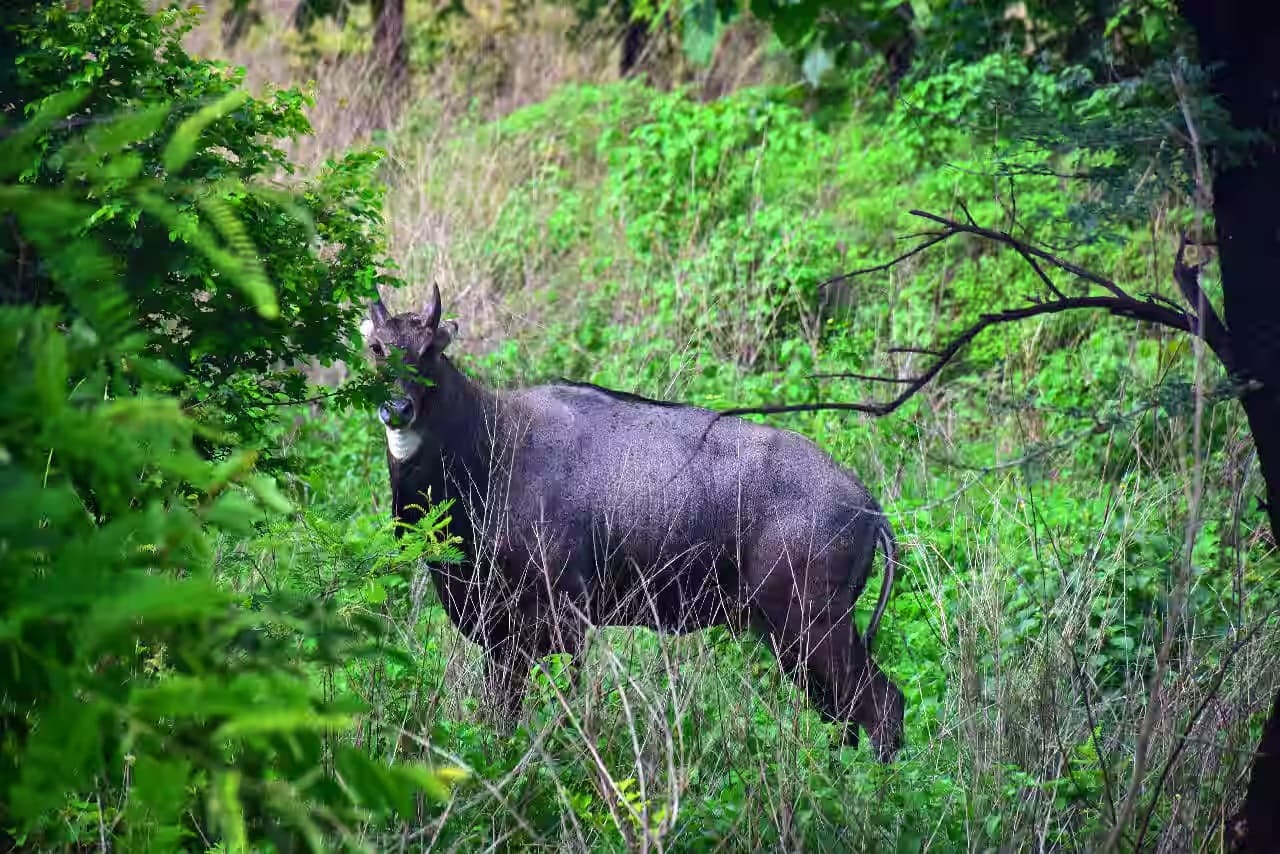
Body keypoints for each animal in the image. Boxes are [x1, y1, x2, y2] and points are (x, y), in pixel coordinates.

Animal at [366, 286, 911, 763]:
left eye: (429, 350)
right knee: (843, 715)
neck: (492, 444)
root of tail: (869, 506)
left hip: (811, 622)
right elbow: (501, 716)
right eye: (377, 348)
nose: (398, 409)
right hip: (789, 635)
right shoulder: (501, 634)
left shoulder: (563, 619)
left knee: (882, 704)